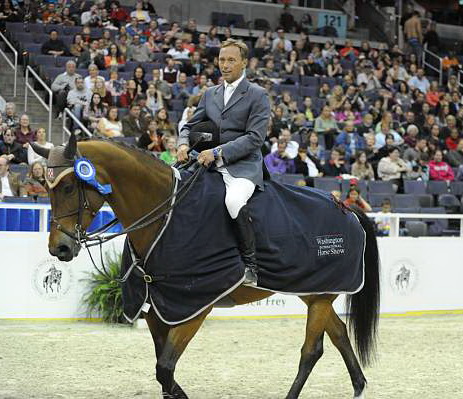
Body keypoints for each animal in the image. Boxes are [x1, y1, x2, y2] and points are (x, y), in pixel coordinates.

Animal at [33, 135, 380, 399]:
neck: (166, 214)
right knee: (339, 334)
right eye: (46, 187)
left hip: (321, 294)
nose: (59, 248)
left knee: (312, 350)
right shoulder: (159, 308)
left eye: (68, 187)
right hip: (314, 290)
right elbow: (163, 373)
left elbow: (165, 370)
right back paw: (359, 387)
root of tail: (346, 208)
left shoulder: (194, 307)